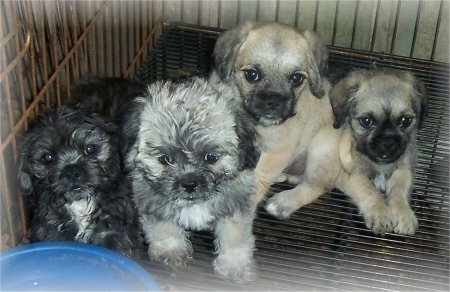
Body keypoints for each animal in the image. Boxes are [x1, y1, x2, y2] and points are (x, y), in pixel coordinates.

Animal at [18, 105, 142, 256]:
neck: (80, 204)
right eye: (48, 157)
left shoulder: (115, 233)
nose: (72, 172)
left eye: (90, 148)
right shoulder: (51, 231)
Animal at [121, 76, 258, 282]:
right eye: (165, 159)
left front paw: (234, 265)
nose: (189, 183)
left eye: (210, 157)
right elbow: (164, 228)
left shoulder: (235, 204)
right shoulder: (150, 200)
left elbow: (234, 236)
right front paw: (171, 251)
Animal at [209, 21, 332, 208]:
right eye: (252, 75)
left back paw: (283, 203)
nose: (274, 101)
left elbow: (259, 176)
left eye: (296, 79)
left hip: (321, 147)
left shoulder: (276, 150)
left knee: (314, 186)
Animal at [268, 68, 428, 235]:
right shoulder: (351, 174)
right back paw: (283, 200)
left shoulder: (404, 166)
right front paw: (380, 213)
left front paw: (404, 213)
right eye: (366, 121)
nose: (388, 143)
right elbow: (370, 191)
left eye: (405, 121)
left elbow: (400, 189)